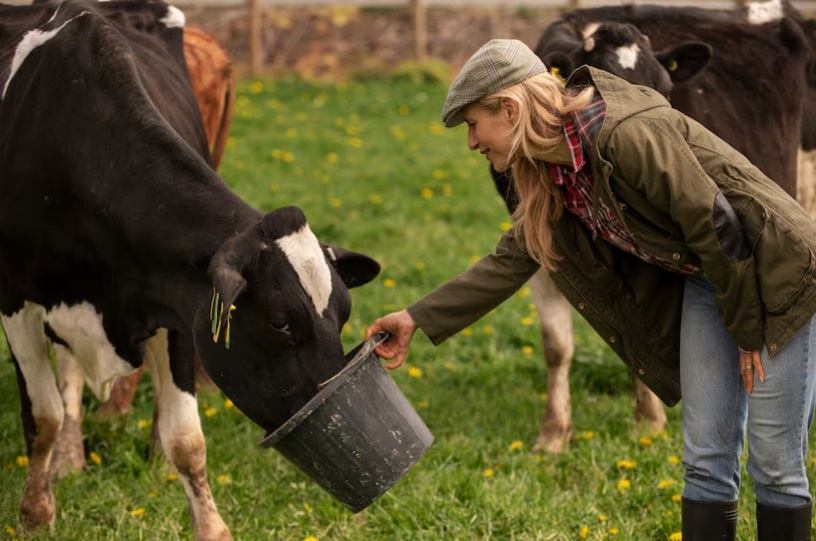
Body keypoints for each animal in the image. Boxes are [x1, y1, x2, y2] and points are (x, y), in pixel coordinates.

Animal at [0, 0, 380, 536]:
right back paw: (69, 456)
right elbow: (42, 416)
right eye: (280, 323)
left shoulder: (179, 302)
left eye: (343, 315)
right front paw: (36, 515)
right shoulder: (16, 300)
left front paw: (213, 529)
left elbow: (186, 440)